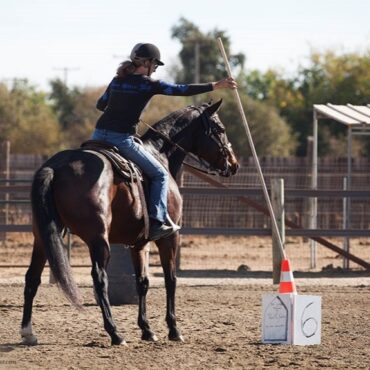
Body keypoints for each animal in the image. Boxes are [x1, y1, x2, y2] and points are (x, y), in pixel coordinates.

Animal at [20, 99, 240, 346]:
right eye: (220, 129)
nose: (233, 164)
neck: (160, 155)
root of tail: (56, 166)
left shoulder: (138, 243)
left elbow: (142, 282)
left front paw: (147, 330)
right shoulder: (170, 237)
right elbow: (170, 279)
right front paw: (174, 329)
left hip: (43, 237)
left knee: (32, 277)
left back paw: (28, 332)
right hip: (98, 240)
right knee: (99, 279)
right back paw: (115, 333)